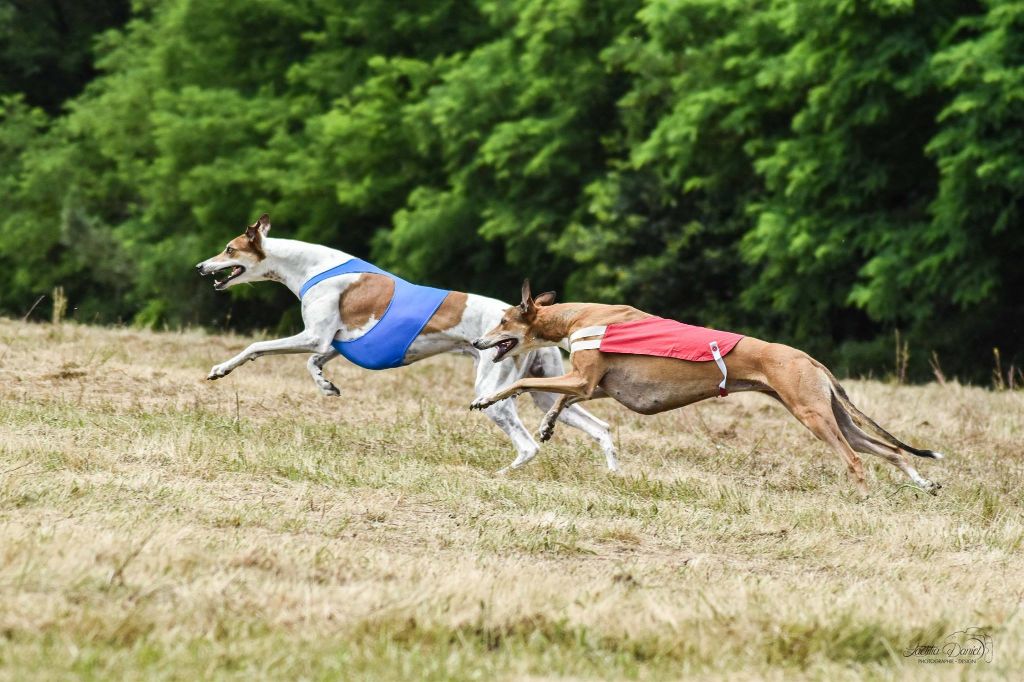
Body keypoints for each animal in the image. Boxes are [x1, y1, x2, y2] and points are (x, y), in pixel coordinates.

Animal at [196, 215, 618, 471]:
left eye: (229, 249)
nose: (200, 267)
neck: (312, 266)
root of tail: (530, 323)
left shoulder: (315, 335)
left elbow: (257, 348)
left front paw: (220, 369)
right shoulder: (334, 341)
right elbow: (313, 363)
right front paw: (326, 385)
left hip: (493, 394)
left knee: (528, 445)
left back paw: (503, 475)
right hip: (544, 391)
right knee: (600, 428)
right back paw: (611, 471)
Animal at [471, 278, 942, 497]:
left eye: (503, 321)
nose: (477, 343)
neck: (577, 317)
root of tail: (810, 359)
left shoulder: (585, 379)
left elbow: (528, 380)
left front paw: (488, 398)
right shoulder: (597, 386)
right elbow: (563, 400)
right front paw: (548, 425)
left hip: (813, 416)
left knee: (856, 461)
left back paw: (862, 498)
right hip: (836, 418)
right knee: (890, 450)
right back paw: (925, 485)